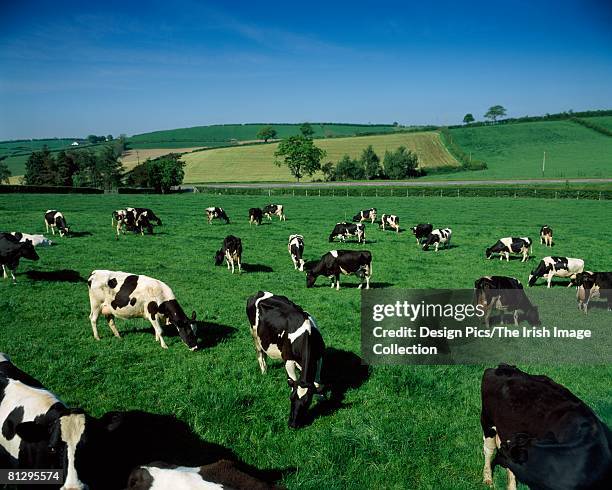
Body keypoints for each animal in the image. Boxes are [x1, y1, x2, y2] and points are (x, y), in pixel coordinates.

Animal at [246, 292, 328, 426]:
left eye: (307, 402)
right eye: (291, 398)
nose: (292, 424)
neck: (307, 334)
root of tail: (259, 292)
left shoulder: (319, 357)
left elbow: (317, 381)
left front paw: (320, 396)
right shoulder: (288, 361)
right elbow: (292, 379)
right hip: (254, 334)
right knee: (260, 354)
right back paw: (264, 372)